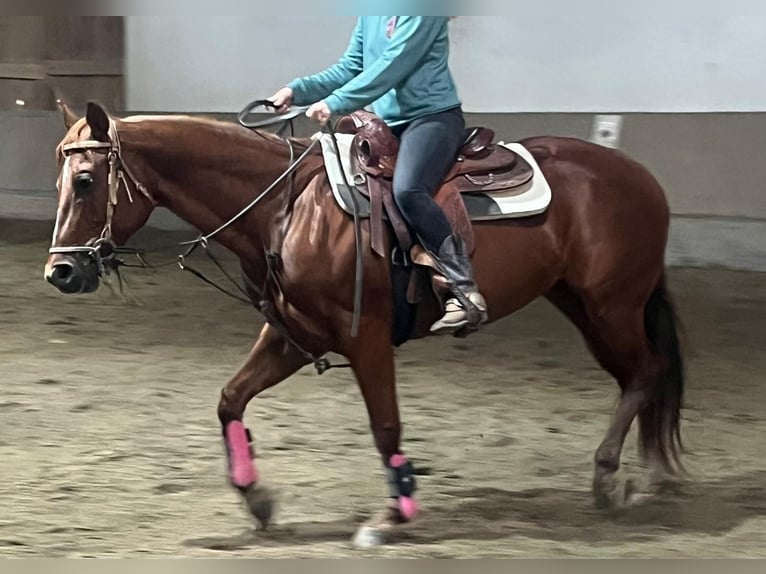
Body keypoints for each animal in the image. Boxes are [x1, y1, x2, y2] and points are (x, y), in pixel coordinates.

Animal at [43, 101, 684, 546]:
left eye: (85, 181)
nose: (61, 272)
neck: (285, 209)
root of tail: (638, 175)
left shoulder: (365, 338)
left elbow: (386, 429)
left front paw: (391, 515)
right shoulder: (293, 337)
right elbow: (230, 400)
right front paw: (256, 500)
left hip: (612, 304)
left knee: (646, 371)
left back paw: (618, 479)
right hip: (582, 305)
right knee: (641, 376)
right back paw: (645, 477)